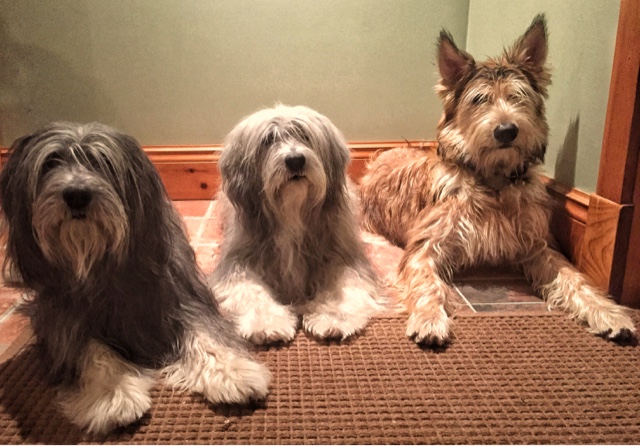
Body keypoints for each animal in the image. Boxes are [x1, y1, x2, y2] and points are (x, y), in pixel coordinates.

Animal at [0, 122, 271, 434]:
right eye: (50, 163)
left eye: (103, 162)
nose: (77, 194)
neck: (99, 262)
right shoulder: (64, 321)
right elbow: (93, 354)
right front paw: (113, 395)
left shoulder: (180, 303)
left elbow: (206, 336)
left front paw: (233, 372)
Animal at [209, 104, 382, 344]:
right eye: (268, 139)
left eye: (304, 135)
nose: (295, 160)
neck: (291, 210)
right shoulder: (237, 262)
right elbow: (251, 291)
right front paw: (267, 323)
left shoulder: (345, 257)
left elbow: (343, 287)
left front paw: (332, 317)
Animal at [359, 15, 636, 346]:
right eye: (479, 99)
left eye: (519, 95)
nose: (506, 130)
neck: (494, 181)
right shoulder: (425, 248)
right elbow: (427, 283)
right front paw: (429, 317)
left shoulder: (538, 243)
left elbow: (573, 277)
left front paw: (607, 312)